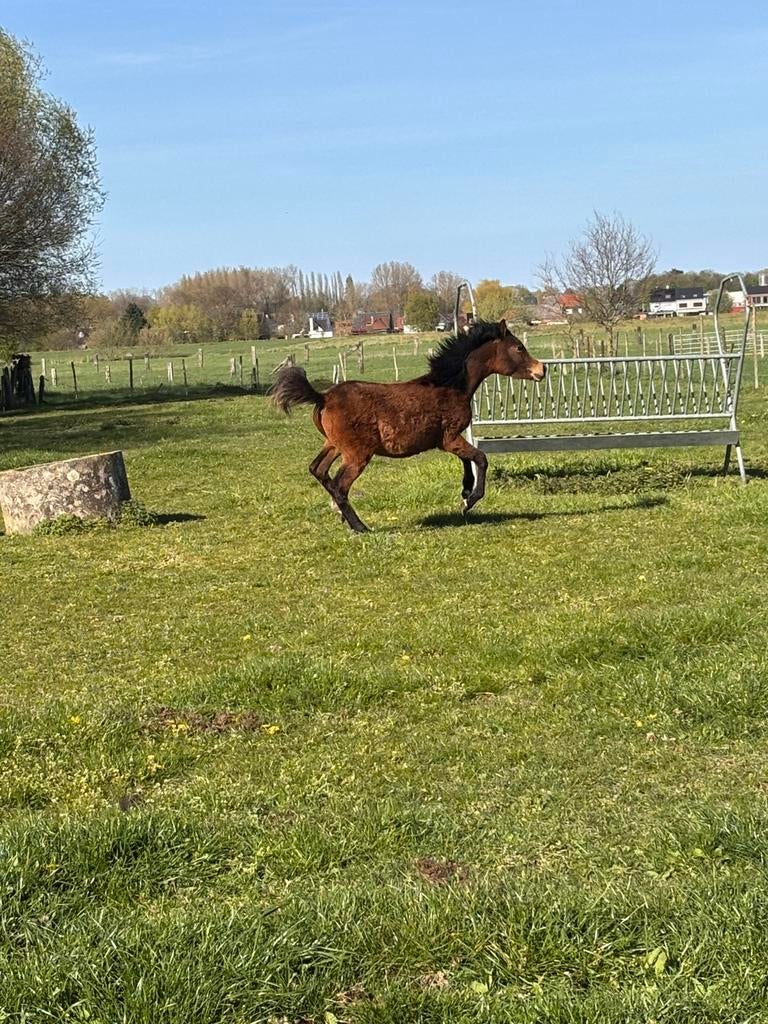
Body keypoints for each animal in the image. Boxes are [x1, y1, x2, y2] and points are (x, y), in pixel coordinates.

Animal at [271, 319, 546, 532]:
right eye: (519, 348)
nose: (541, 370)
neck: (450, 385)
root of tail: (323, 397)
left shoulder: (448, 440)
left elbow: (468, 461)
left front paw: (465, 490)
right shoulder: (449, 438)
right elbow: (480, 458)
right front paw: (469, 501)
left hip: (333, 445)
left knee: (318, 470)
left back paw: (345, 519)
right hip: (357, 454)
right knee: (339, 485)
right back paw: (360, 527)